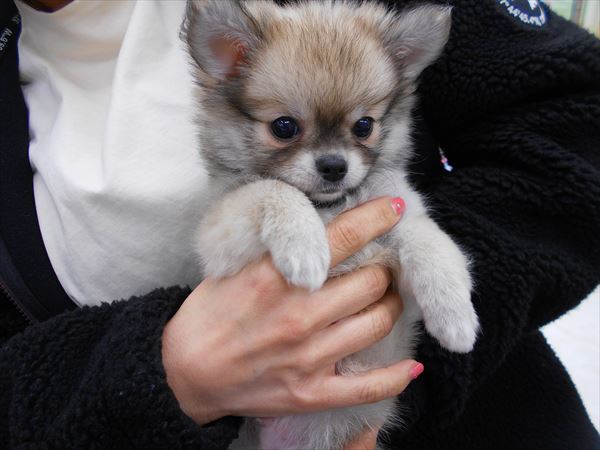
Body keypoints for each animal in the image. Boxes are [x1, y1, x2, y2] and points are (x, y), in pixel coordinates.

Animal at [182, 1, 479, 448]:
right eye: (284, 127)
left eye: (364, 126)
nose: (334, 166)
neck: (330, 206)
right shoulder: (220, 237)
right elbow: (274, 189)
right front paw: (305, 249)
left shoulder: (401, 224)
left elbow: (430, 245)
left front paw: (456, 319)